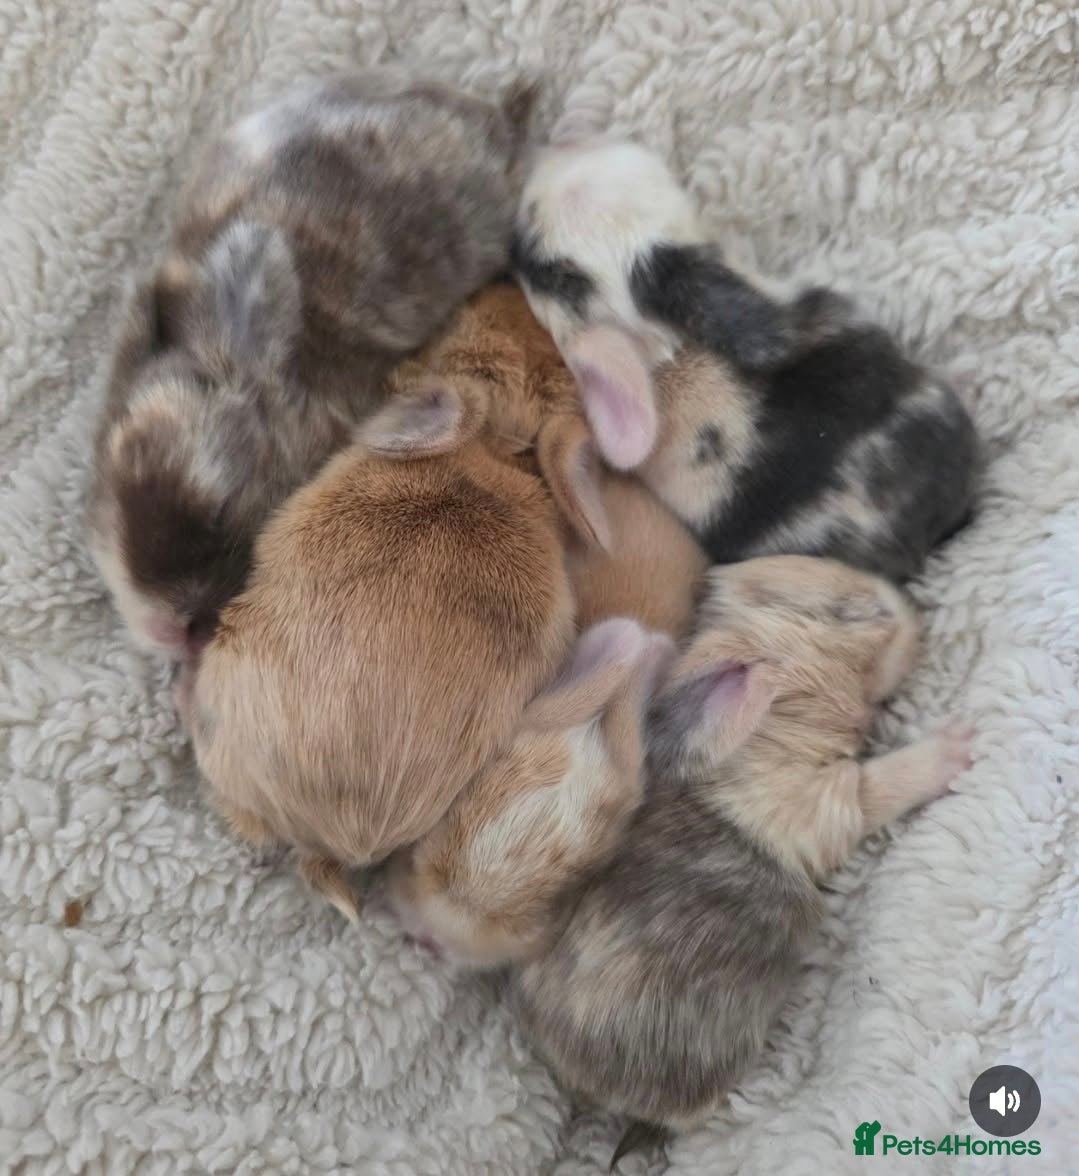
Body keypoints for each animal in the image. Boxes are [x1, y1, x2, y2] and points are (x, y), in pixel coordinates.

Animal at [510, 555, 973, 1162]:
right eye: (852, 612)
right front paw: (956, 747)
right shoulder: (827, 803)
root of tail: (585, 1087)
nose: (913, 610)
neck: (764, 733)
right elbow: (883, 782)